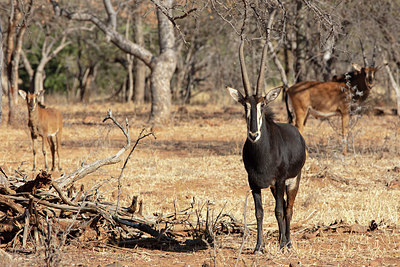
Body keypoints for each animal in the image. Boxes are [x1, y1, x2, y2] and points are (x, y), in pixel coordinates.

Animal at [228, 38, 306, 254]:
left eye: (262, 104)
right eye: (245, 105)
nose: (253, 134)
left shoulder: (279, 181)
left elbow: (279, 211)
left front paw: (281, 245)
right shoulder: (254, 183)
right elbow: (259, 212)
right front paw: (258, 247)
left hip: (293, 181)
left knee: (288, 209)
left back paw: (287, 243)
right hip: (273, 186)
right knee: (283, 207)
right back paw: (282, 239)